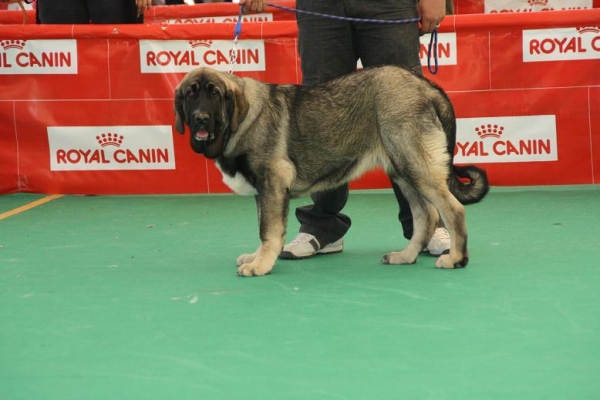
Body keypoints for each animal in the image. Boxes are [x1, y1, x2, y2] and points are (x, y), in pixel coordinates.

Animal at [172, 66, 488, 278]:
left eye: (214, 94)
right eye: (190, 94)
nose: (200, 118)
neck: (242, 119)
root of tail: (428, 86)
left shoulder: (272, 183)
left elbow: (268, 231)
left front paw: (260, 264)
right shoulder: (264, 193)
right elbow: (263, 227)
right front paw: (256, 257)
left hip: (415, 165)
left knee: (452, 209)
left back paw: (456, 258)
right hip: (402, 170)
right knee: (426, 215)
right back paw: (406, 256)